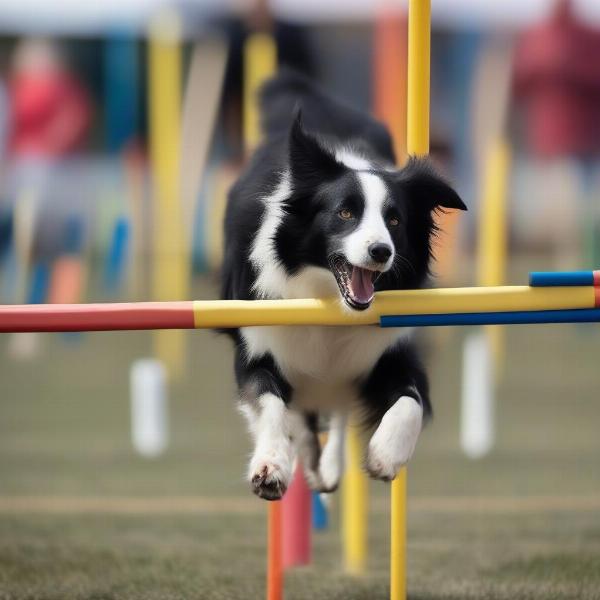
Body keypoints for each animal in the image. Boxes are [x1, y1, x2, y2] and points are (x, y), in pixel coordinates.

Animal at [220, 72, 464, 500]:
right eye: (345, 213)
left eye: (395, 220)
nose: (381, 251)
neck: (330, 301)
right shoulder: (258, 344)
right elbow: (269, 403)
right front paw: (271, 466)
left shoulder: (389, 348)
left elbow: (411, 399)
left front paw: (386, 454)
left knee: (337, 407)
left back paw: (329, 466)